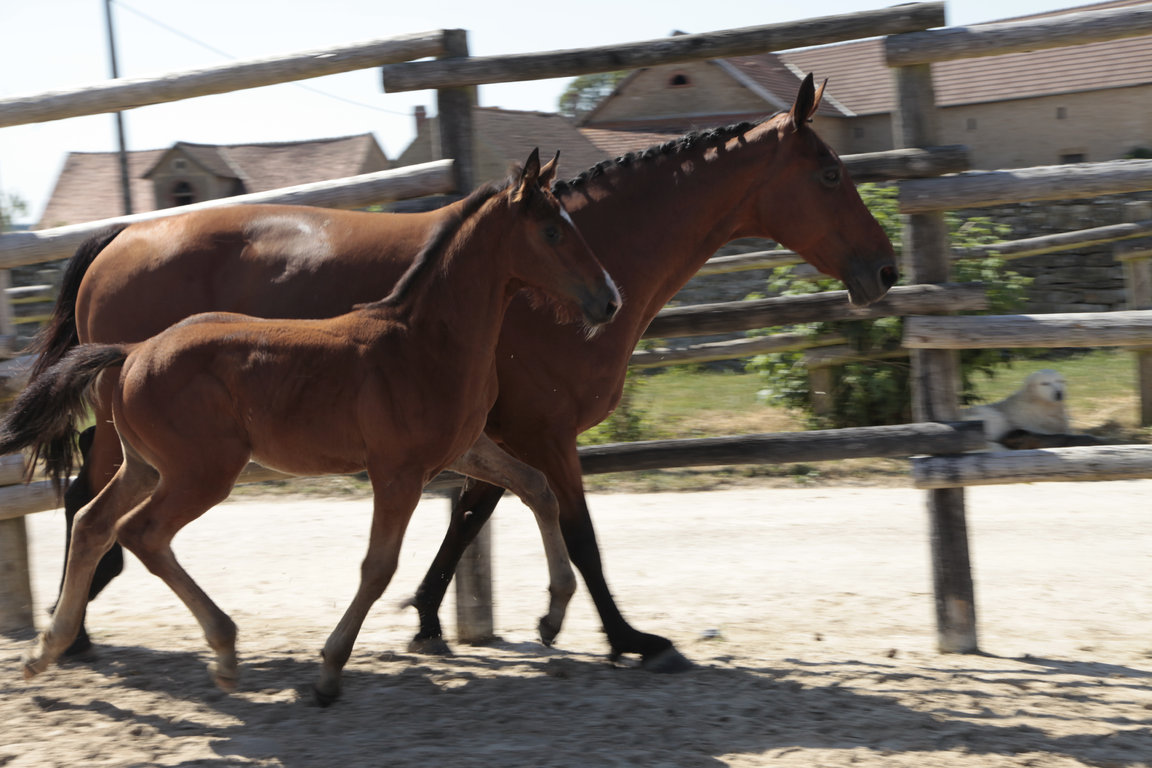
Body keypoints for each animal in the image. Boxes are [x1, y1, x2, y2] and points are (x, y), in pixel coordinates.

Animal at [2, 153, 622, 704]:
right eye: (551, 231)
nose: (609, 300)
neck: (424, 340)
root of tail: (132, 352)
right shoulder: (397, 471)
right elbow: (378, 567)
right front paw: (328, 672)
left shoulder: (462, 448)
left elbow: (536, 489)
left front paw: (553, 613)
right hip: (201, 473)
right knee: (141, 533)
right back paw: (222, 650)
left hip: (146, 465)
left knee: (92, 522)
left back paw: (46, 649)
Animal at [24, 74, 889, 667]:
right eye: (830, 174)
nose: (883, 268)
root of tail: (120, 235)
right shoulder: (544, 428)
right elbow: (576, 530)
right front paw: (627, 636)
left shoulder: (487, 430)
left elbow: (475, 512)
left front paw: (435, 620)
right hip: (147, 434)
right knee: (87, 499)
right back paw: (78, 626)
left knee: (96, 502)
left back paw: (81, 619)